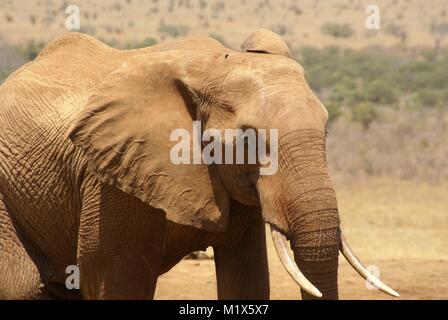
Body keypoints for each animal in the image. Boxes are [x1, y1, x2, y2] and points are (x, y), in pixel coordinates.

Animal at [0, 28, 398, 298]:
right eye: (250, 140)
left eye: (326, 131)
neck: (210, 67)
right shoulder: (111, 179)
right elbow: (114, 274)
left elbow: (247, 275)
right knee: (22, 286)